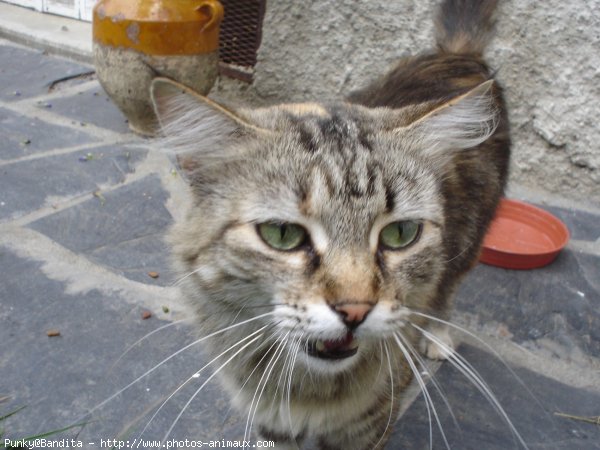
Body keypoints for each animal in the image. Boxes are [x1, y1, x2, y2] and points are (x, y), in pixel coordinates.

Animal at [150, 0, 510, 446]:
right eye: (282, 235)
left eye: (400, 234)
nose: (355, 311)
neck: (305, 389)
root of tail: (456, 55)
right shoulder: (271, 421)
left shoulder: (372, 421)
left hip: (468, 246)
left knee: (448, 291)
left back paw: (438, 338)